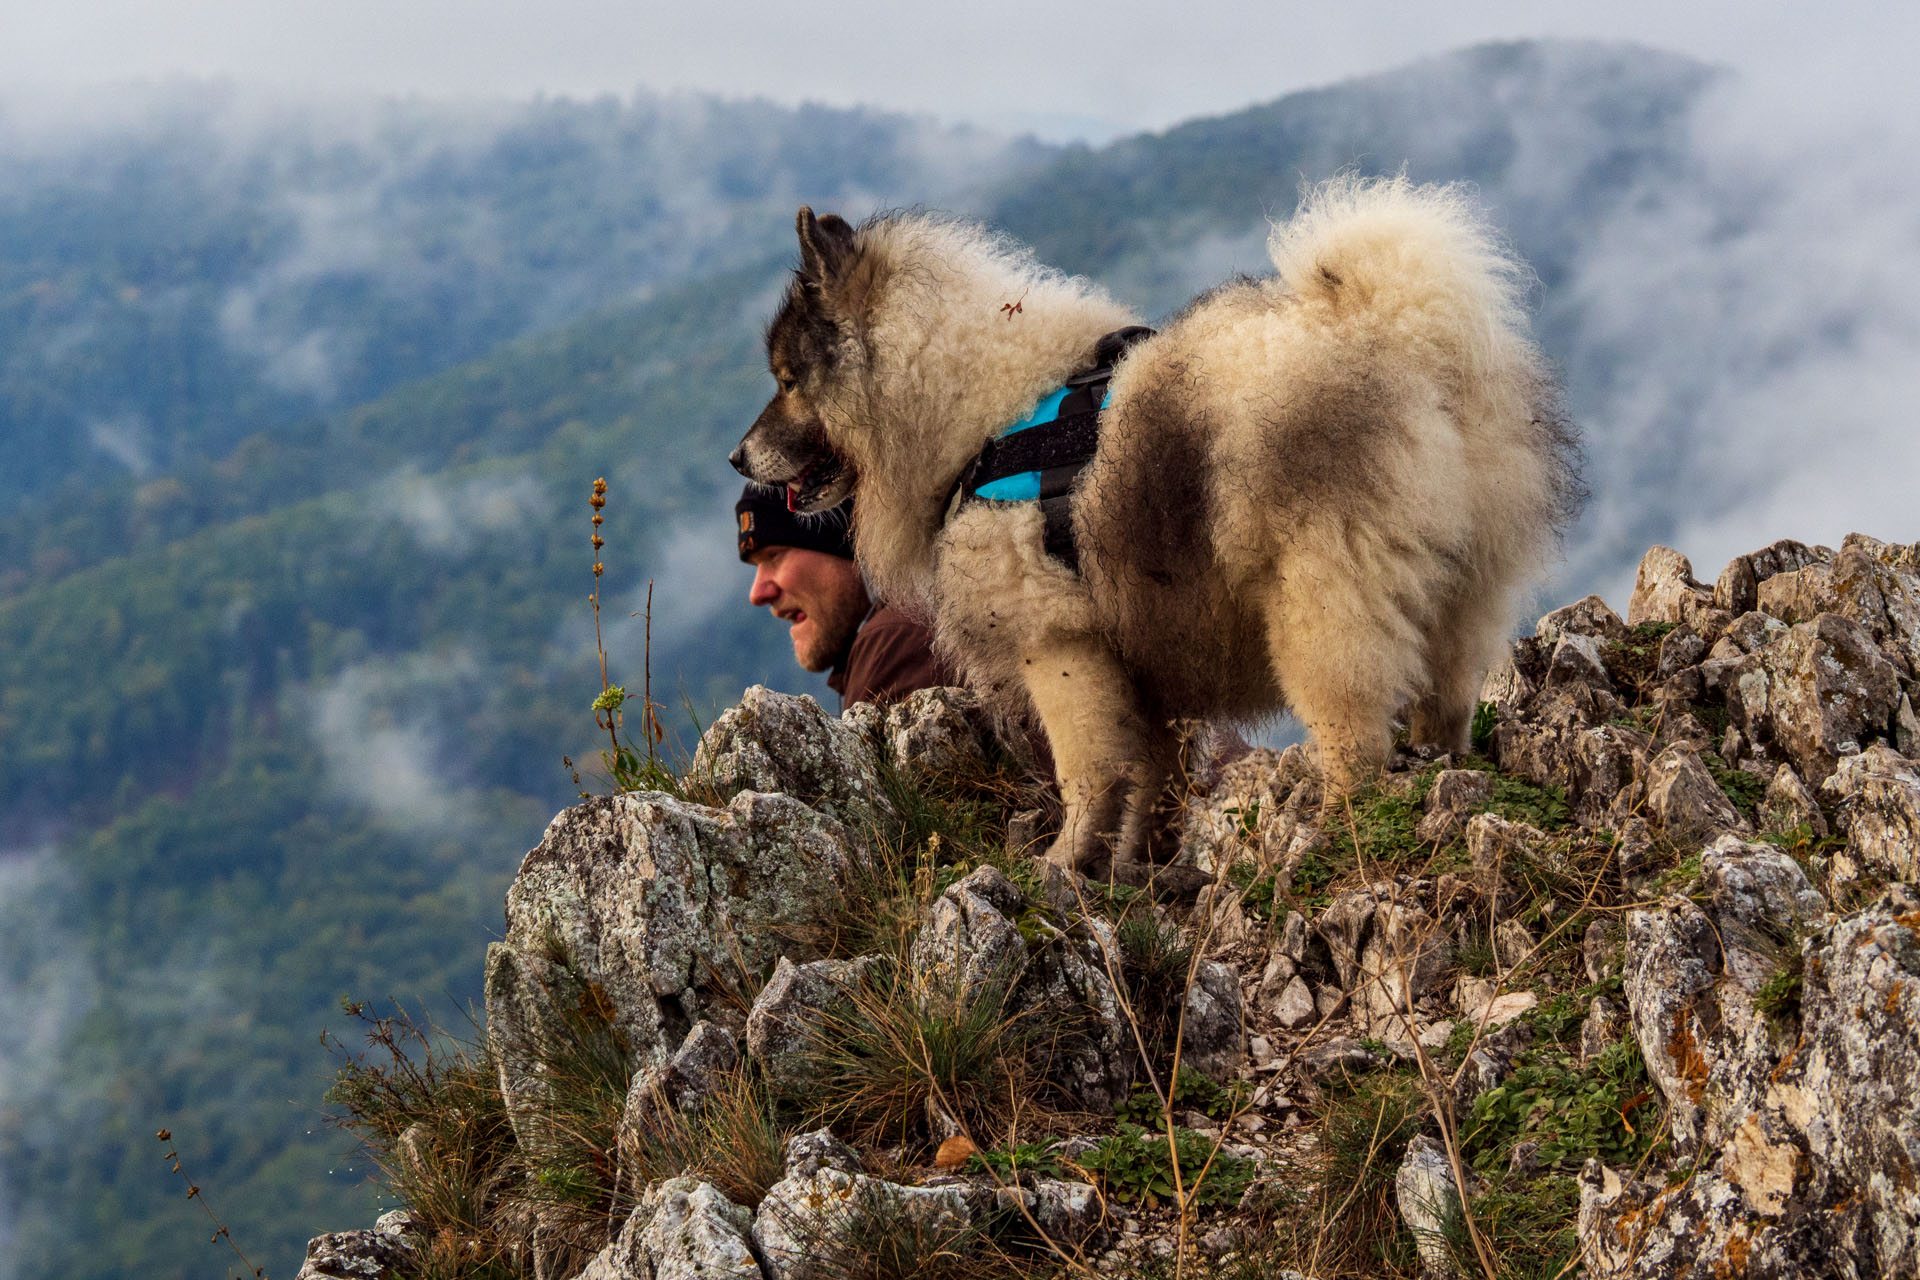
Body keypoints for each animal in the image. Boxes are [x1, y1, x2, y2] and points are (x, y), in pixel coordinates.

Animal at [725, 180, 1582, 875]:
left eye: (788, 380)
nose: (736, 456)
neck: (980, 417)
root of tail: (1402, 331)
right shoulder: (1144, 666)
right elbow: (1155, 779)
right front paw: (1141, 862)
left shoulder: (1060, 648)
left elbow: (1089, 774)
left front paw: (1063, 866)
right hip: (1464, 590)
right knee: (1445, 697)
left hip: (1320, 600)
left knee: (1354, 733)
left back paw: (1334, 830)